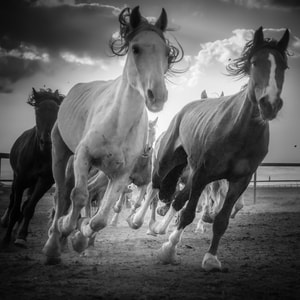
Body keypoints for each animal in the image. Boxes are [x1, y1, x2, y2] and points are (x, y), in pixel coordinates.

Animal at [0, 87, 64, 246]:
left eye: (57, 110)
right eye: (38, 110)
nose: (47, 141)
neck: (40, 155)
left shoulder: (44, 182)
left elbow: (29, 208)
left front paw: (21, 236)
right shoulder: (20, 180)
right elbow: (15, 209)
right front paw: (6, 238)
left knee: (26, 204)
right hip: (16, 179)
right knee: (12, 200)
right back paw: (5, 221)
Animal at [43, 5, 182, 264]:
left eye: (167, 52)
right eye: (135, 48)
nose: (157, 95)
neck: (118, 124)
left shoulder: (120, 175)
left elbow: (101, 218)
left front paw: (81, 236)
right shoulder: (83, 156)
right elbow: (78, 195)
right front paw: (67, 227)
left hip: (103, 172)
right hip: (61, 151)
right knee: (63, 194)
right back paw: (53, 246)